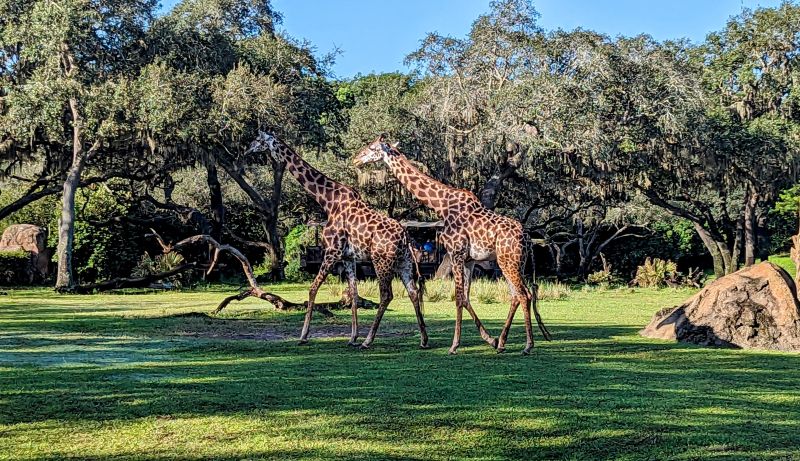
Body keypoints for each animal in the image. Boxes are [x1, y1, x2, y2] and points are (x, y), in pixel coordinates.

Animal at [245, 131, 428, 346]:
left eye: (259, 140)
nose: (247, 150)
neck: (327, 200)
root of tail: (405, 237)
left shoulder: (332, 251)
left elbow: (313, 288)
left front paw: (303, 335)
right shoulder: (348, 256)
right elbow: (354, 293)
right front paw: (352, 337)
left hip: (381, 260)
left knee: (386, 294)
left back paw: (368, 340)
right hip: (404, 261)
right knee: (413, 292)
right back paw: (423, 339)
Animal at [354, 135, 552, 354]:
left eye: (372, 147)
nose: (356, 159)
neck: (442, 205)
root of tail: (527, 237)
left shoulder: (456, 254)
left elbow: (458, 297)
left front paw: (454, 345)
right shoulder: (469, 260)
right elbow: (465, 297)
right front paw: (489, 339)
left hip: (509, 261)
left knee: (524, 295)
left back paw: (527, 345)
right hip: (511, 262)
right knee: (517, 295)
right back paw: (501, 343)